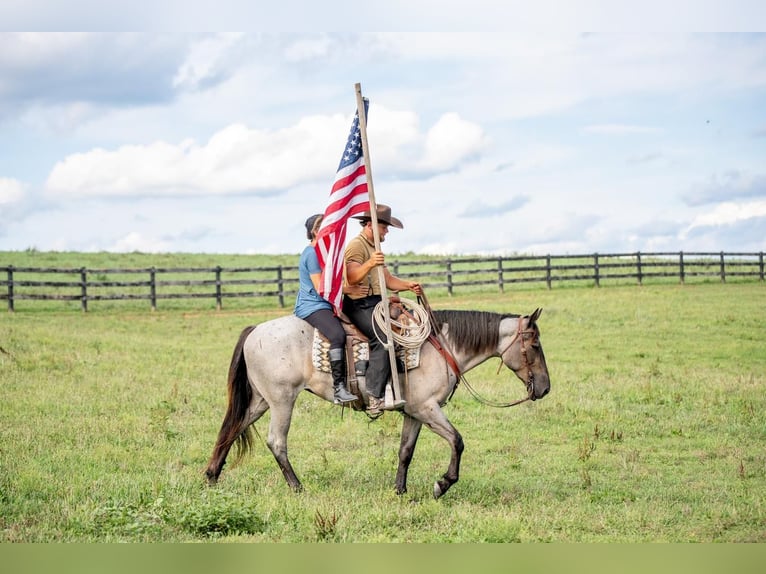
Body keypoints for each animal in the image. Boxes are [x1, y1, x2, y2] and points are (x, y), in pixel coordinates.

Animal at [206, 308, 552, 502]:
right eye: (535, 345)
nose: (545, 387)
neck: (441, 346)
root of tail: (255, 330)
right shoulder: (428, 409)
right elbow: (457, 441)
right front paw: (442, 485)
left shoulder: (414, 413)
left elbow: (405, 451)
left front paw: (400, 491)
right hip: (282, 400)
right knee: (276, 442)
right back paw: (297, 488)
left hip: (260, 400)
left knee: (231, 430)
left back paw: (211, 477)